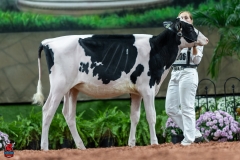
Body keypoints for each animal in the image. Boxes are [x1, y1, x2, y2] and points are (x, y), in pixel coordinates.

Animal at [31, 18, 208, 151]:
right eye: (190, 27)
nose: (206, 39)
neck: (157, 50)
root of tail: (48, 41)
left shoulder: (136, 91)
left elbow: (135, 116)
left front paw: (131, 144)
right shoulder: (148, 88)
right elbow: (151, 116)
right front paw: (154, 143)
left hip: (71, 89)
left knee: (68, 114)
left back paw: (81, 147)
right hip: (59, 86)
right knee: (47, 110)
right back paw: (45, 147)